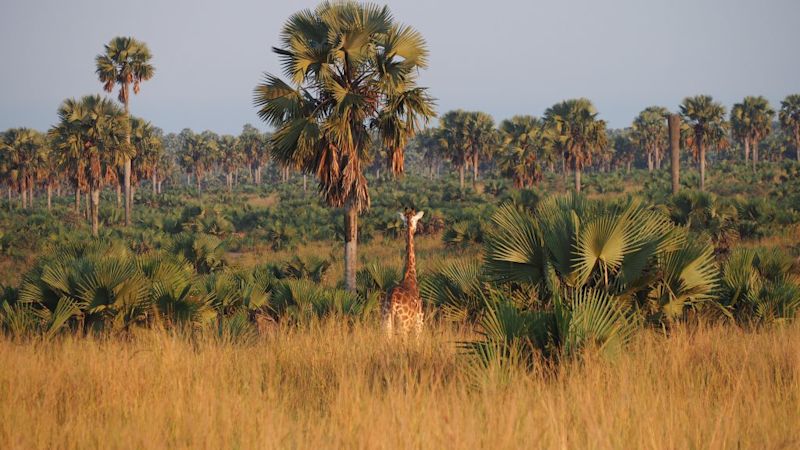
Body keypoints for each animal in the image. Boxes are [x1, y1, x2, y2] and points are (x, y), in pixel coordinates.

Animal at [382, 207, 424, 338]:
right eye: (416, 221)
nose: (416, 229)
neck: (410, 274)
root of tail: (393, 301)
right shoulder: (419, 322)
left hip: (385, 323)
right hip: (404, 326)